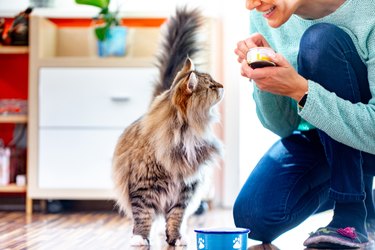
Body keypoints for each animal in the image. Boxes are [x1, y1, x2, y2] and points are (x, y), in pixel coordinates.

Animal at [111, 6, 223, 247]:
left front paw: (176, 238)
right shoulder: (143, 188)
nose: (221, 86)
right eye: (210, 86)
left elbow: (176, 217)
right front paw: (140, 238)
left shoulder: (184, 191)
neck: (184, 135)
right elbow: (143, 216)